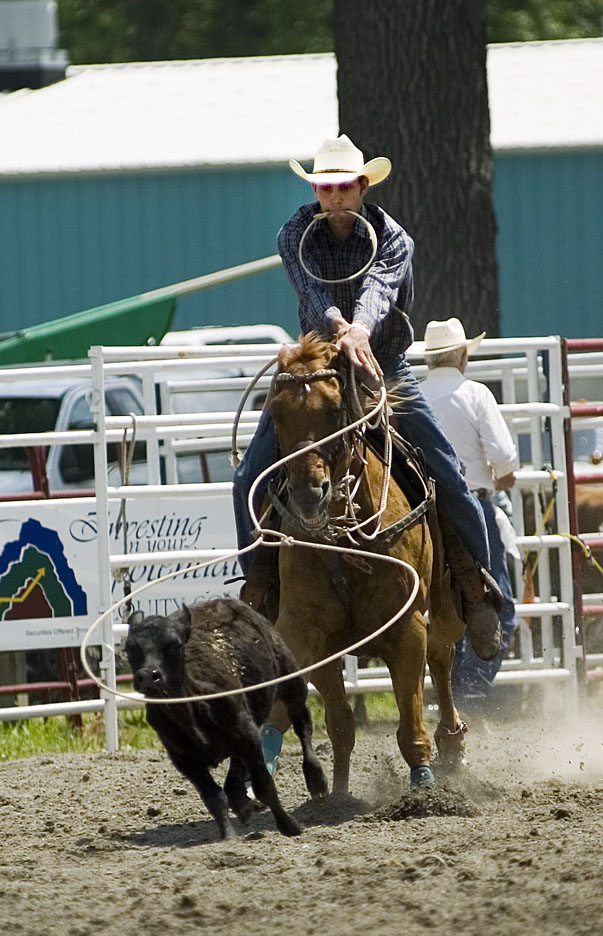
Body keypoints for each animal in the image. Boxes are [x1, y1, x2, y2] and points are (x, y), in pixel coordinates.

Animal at [124, 600, 328, 840]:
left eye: (174, 644)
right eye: (129, 648)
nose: (148, 676)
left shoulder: (248, 737)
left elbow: (264, 786)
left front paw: (289, 826)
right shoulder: (183, 759)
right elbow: (213, 797)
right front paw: (229, 836)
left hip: (290, 681)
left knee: (302, 724)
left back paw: (316, 780)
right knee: (234, 773)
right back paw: (241, 802)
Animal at [266, 334, 470, 788]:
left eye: (334, 408)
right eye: (276, 413)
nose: (309, 495)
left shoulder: (407, 627)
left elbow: (410, 719)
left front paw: (424, 783)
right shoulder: (305, 632)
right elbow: (325, 721)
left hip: (446, 607)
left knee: (442, 659)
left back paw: (452, 745)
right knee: (343, 724)